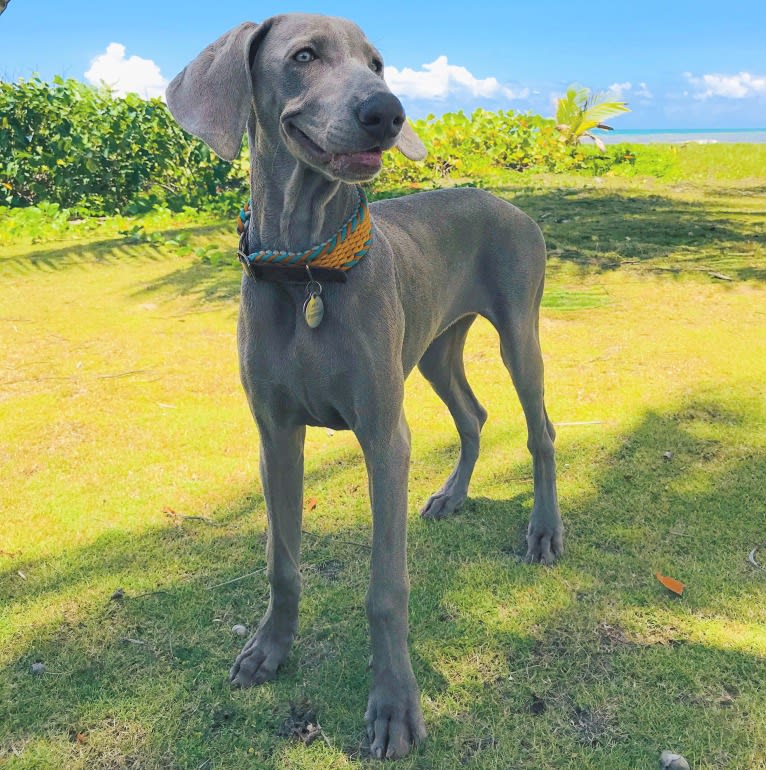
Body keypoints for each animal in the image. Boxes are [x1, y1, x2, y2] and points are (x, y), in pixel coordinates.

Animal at [168, 12, 564, 756]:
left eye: (377, 63)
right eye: (303, 56)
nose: (387, 111)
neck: (306, 270)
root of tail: (510, 204)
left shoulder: (384, 437)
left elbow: (386, 590)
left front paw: (394, 708)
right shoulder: (275, 435)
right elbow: (281, 561)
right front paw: (268, 650)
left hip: (518, 330)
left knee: (541, 431)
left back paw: (544, 531)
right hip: (435, 346)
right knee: (473, 416)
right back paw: (451, 496)